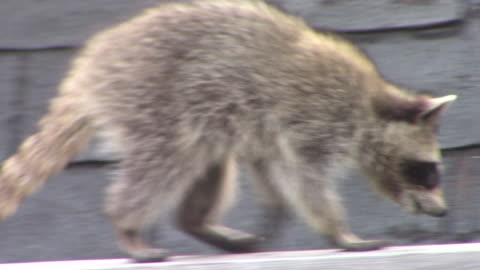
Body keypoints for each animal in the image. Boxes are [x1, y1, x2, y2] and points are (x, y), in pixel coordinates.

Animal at [0, 0, 454, 262]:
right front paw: (338, 230)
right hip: (153, 97)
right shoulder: (313, 119)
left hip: (199, 115)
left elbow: (268, 169)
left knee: (207, 164)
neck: (369, 105)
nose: (443, 211)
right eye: (428, 170)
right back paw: (127, 226)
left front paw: (277, 208)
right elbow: (307, 180)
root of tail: (90, 67)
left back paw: (196, 224)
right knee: (163, 163)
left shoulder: (269, 130)